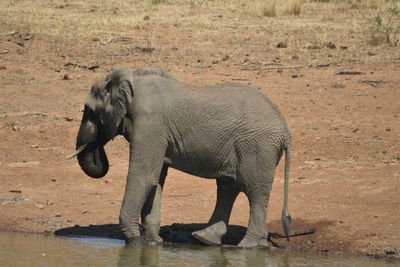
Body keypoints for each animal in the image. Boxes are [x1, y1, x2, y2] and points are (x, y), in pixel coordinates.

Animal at [71, 67, 290, 249]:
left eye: (89, 110)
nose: (98, 146)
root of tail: (285, 129)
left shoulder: (150, 125)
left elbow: (144, 178)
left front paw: (134, 242)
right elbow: (156, 180)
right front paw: (152, 243)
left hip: (257, 147)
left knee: (254, 192)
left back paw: (249, 246)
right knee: (228, 188)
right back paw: (205, 238)